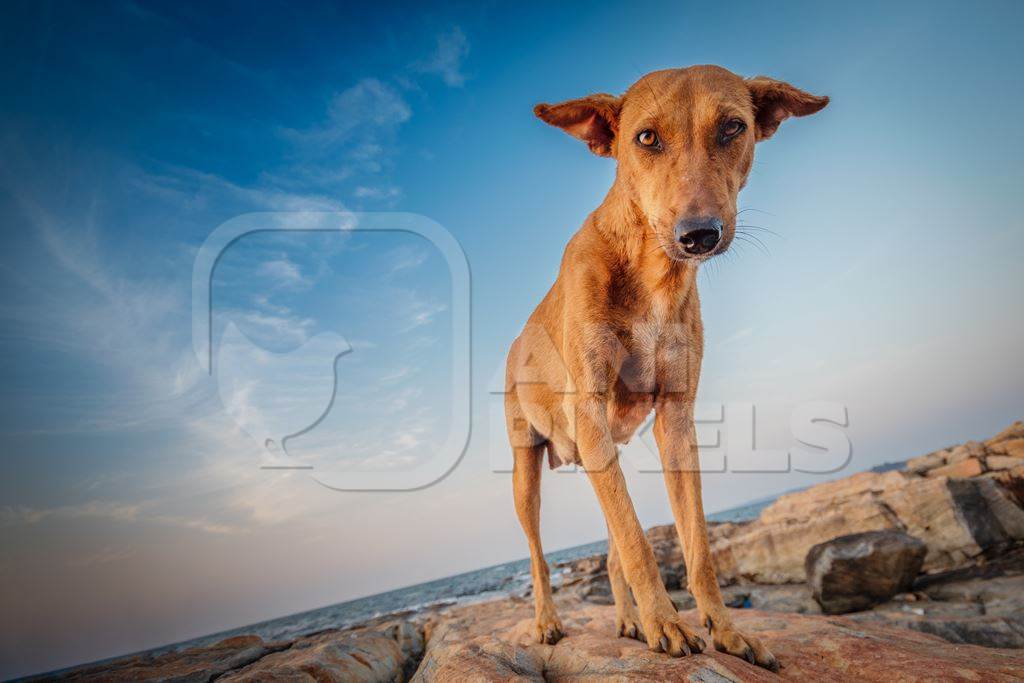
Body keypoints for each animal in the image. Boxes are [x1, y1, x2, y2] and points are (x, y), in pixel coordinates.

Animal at [505, 66, 831, 671]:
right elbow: (638, 543)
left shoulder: (676, 422)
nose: (699, 234)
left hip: (600, 451)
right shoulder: (588, 412)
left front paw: (724, 630)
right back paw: (548, 622)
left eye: (733, 127)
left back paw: (628, 619)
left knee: (611, 548)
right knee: (540, 555)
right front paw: (667, 623)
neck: (651, 271)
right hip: (527, 470)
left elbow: (695, 545)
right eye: (646, 138)